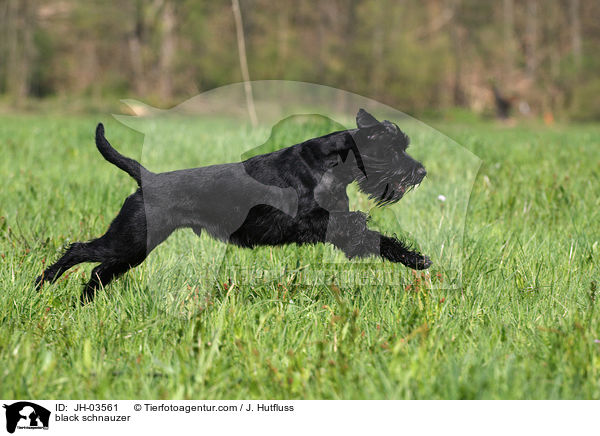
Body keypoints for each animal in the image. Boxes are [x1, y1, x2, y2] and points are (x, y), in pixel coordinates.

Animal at [36, 108, 432, 304]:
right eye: (392, 149)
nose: (421, 171)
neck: (333, 162)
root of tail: (147, 178)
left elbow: (375, 239)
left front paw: (416, 259)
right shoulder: (317, 221)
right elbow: (360, 227)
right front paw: (415, 257)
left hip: (134, 248)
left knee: (98, 272)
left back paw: (84, 303)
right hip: (129, 238)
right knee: (79, 250)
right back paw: (42, 283)